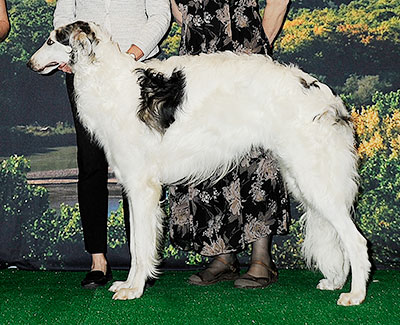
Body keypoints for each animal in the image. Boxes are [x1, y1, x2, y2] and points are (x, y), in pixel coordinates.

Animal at [28, 21, 370, 306]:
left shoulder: (143, 187)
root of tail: (327, 97)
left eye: (50, 41)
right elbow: (138, 244)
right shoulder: (134, 186)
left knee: (356, 240)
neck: (109, 80)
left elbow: (139, 247)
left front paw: (133, 288)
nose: (30, 63)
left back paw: (355, 295)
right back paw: (335, 282)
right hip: (304, 179)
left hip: (314, 178)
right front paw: (129, 284)